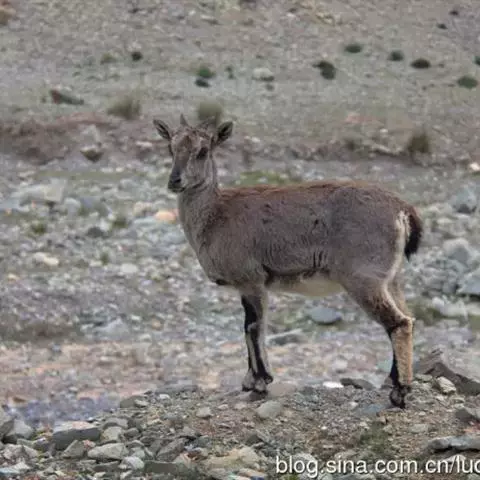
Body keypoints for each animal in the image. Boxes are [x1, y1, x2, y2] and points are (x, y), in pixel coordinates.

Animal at [153, 114, 423, 409]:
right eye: (171, 148)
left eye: (203, 151)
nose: (175, 180)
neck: (216, 216)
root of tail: (403, 211)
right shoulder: (245, 287)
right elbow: (248, 327)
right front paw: (249, 380)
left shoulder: (252, 280)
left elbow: (253, 327)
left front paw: (260, 381)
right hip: (390, 279)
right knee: (407, 318)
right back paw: (394, 380)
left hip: (363, 279)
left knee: (398, 323)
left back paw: (399, 392)